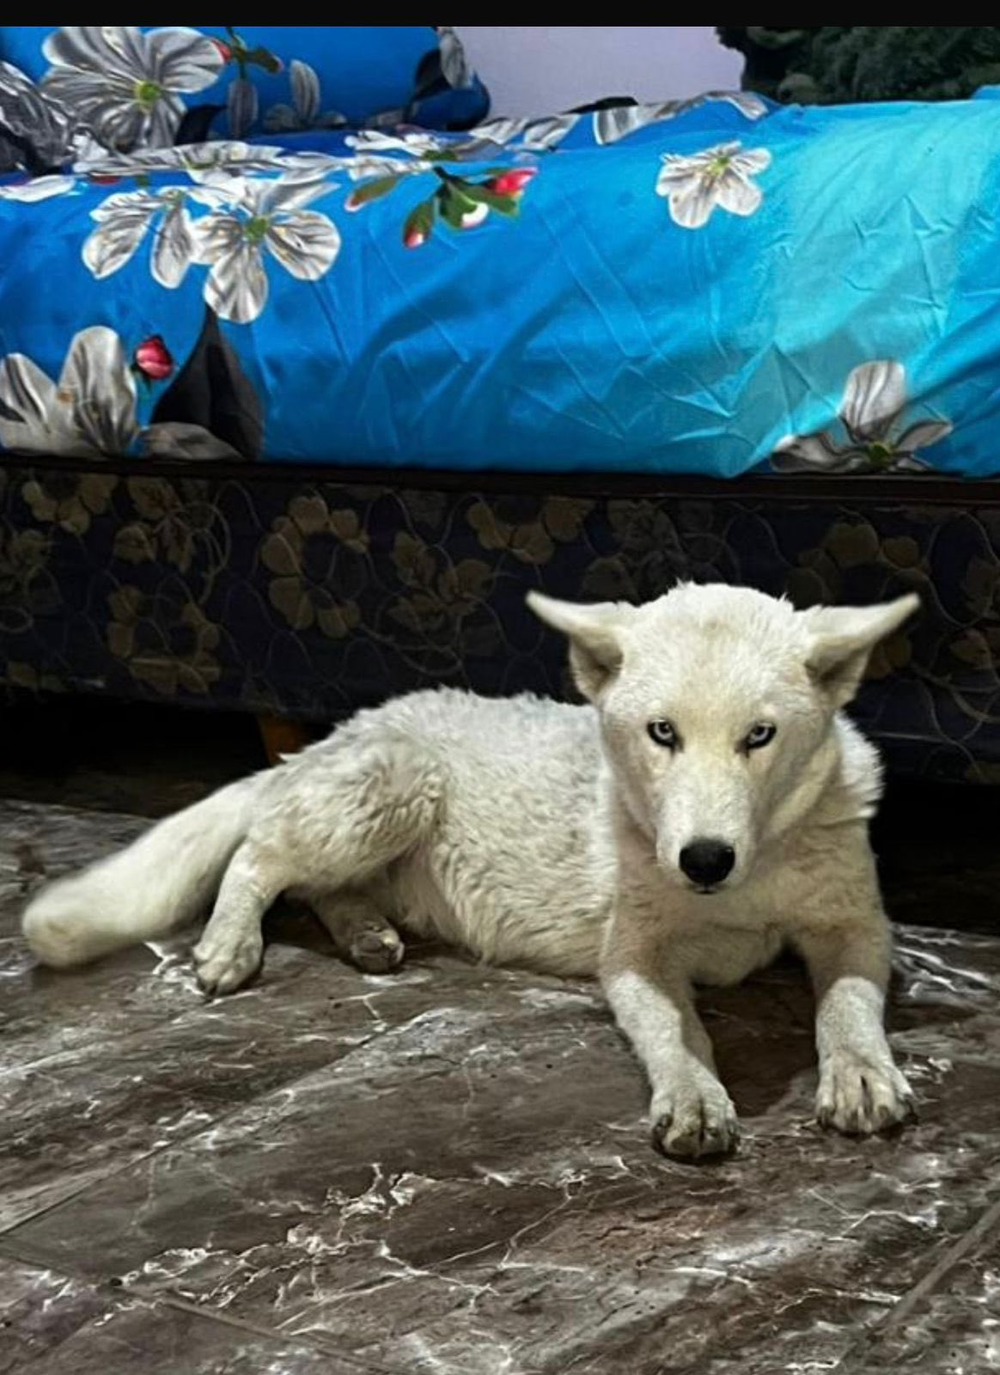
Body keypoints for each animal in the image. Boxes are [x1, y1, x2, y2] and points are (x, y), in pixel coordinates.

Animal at [22, 583, 918, 1159]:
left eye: (760, 735)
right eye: (662, 732)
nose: (703, 859)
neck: (754, 869)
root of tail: (339, 730)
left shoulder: (855, 927)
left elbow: (846, 1003)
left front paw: (860, 1071)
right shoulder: (634, 954)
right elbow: (677, 1028)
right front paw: (695, 1092)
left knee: (318, 885)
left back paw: (366, 934)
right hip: (391, 786)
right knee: (260, 856)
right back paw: (230, 944)